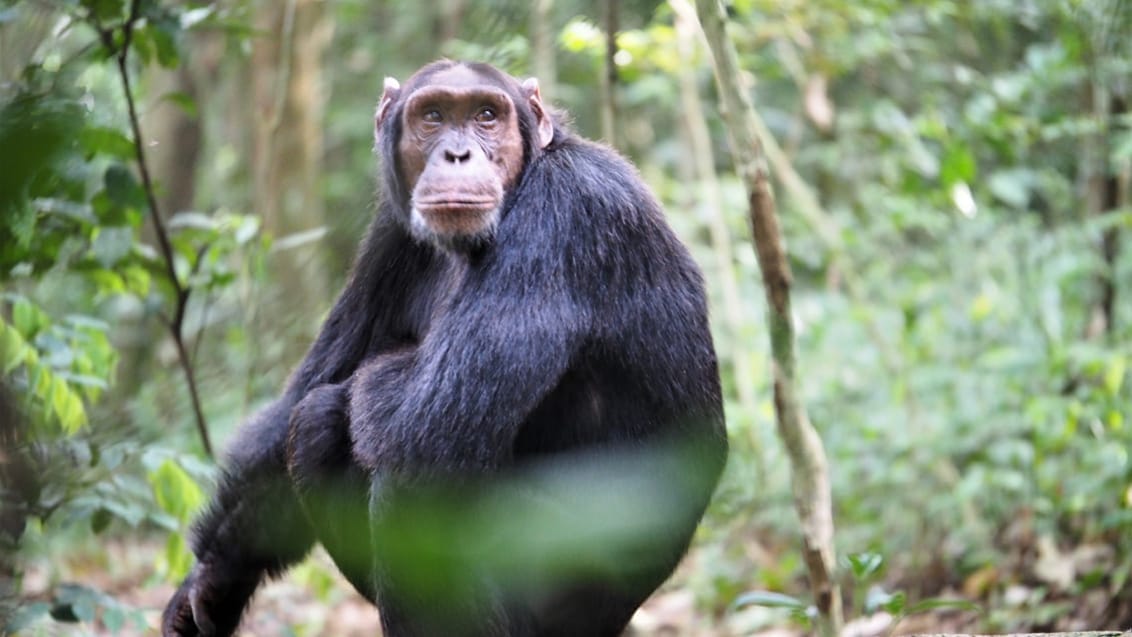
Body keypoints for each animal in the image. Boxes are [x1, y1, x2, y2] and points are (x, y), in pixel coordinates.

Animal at [159, 61, 724, 637]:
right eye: (432, 116)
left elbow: (420, 426)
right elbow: (309, 390)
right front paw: (214, 576)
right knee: (316, 424)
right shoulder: (389, 235)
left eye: (486, 115)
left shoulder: (566, 214)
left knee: (404, 479)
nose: (457, 154)